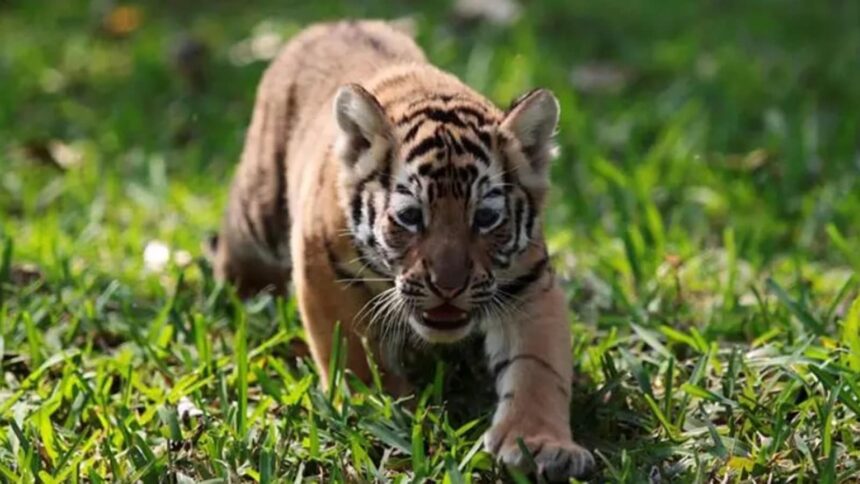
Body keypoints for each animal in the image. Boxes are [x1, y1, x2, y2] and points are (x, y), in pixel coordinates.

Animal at [208, 20, 595, 479]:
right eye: (410, 216)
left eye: (485, 217)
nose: (448, 287)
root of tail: (328, 24)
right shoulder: (323, 268)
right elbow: (353, 352)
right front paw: (382, 408)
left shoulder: (530, 283)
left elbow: (538, 367)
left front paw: (539, 445)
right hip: (257, 211)